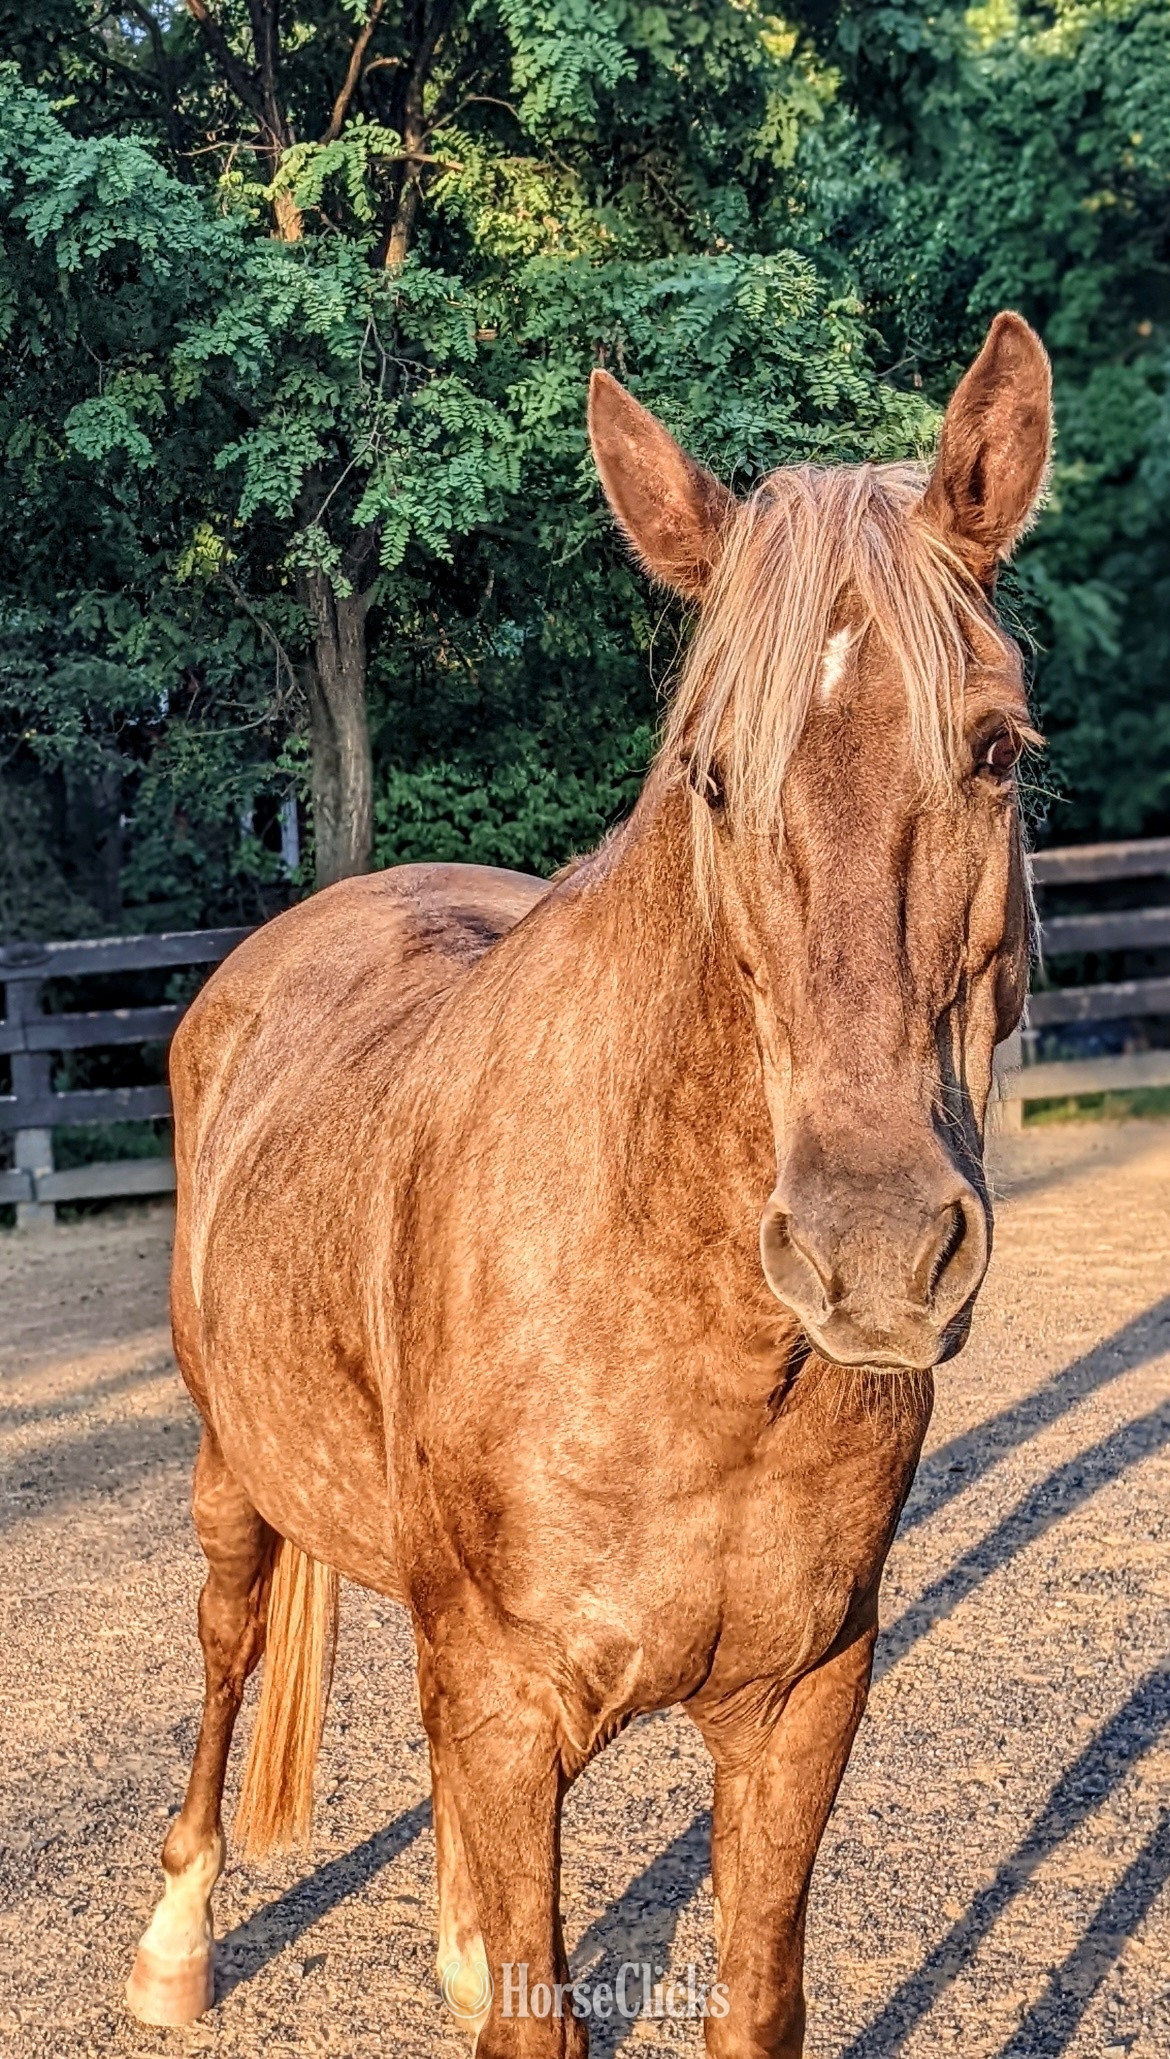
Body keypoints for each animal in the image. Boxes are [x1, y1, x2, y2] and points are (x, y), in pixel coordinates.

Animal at [125, 310, 1051, 2057]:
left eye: (994, 750)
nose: (874, 1248)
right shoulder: (508, 1696)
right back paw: (171, 1945)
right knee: (220, 1652)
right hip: (234, 1477)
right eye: (708, 773)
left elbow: (749, 1998)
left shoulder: (803, 1700)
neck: (693, 1347)